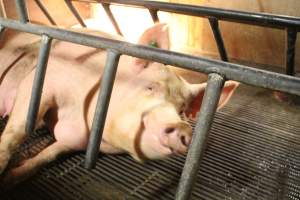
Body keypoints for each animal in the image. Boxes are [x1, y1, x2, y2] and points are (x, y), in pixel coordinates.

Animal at [0, 23, 239, 186]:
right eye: (150, 87)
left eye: (181, 110)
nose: (182, 127)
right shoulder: (43, 82)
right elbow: (17, 131)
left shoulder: (76, 140)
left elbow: (49, 154)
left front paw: (13, 176)